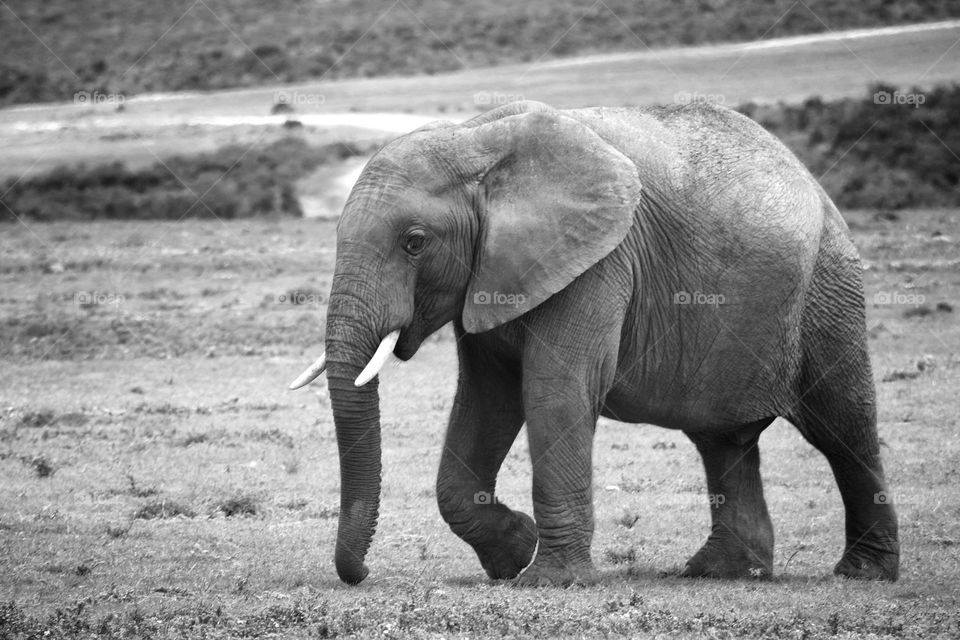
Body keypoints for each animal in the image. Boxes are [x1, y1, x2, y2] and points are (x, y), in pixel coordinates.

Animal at [286, 99, 900, 584]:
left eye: (414, 242)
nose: (360, 575)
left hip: (829, 287)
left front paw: (549, 580)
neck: (476, 141)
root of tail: (808, 175)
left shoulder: (601, 260)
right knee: (723, 440)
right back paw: (723, 572)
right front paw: (516, 554)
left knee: (843, 428)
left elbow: (555, 389)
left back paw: (863, 573)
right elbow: (487, 399)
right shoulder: (491, 274)